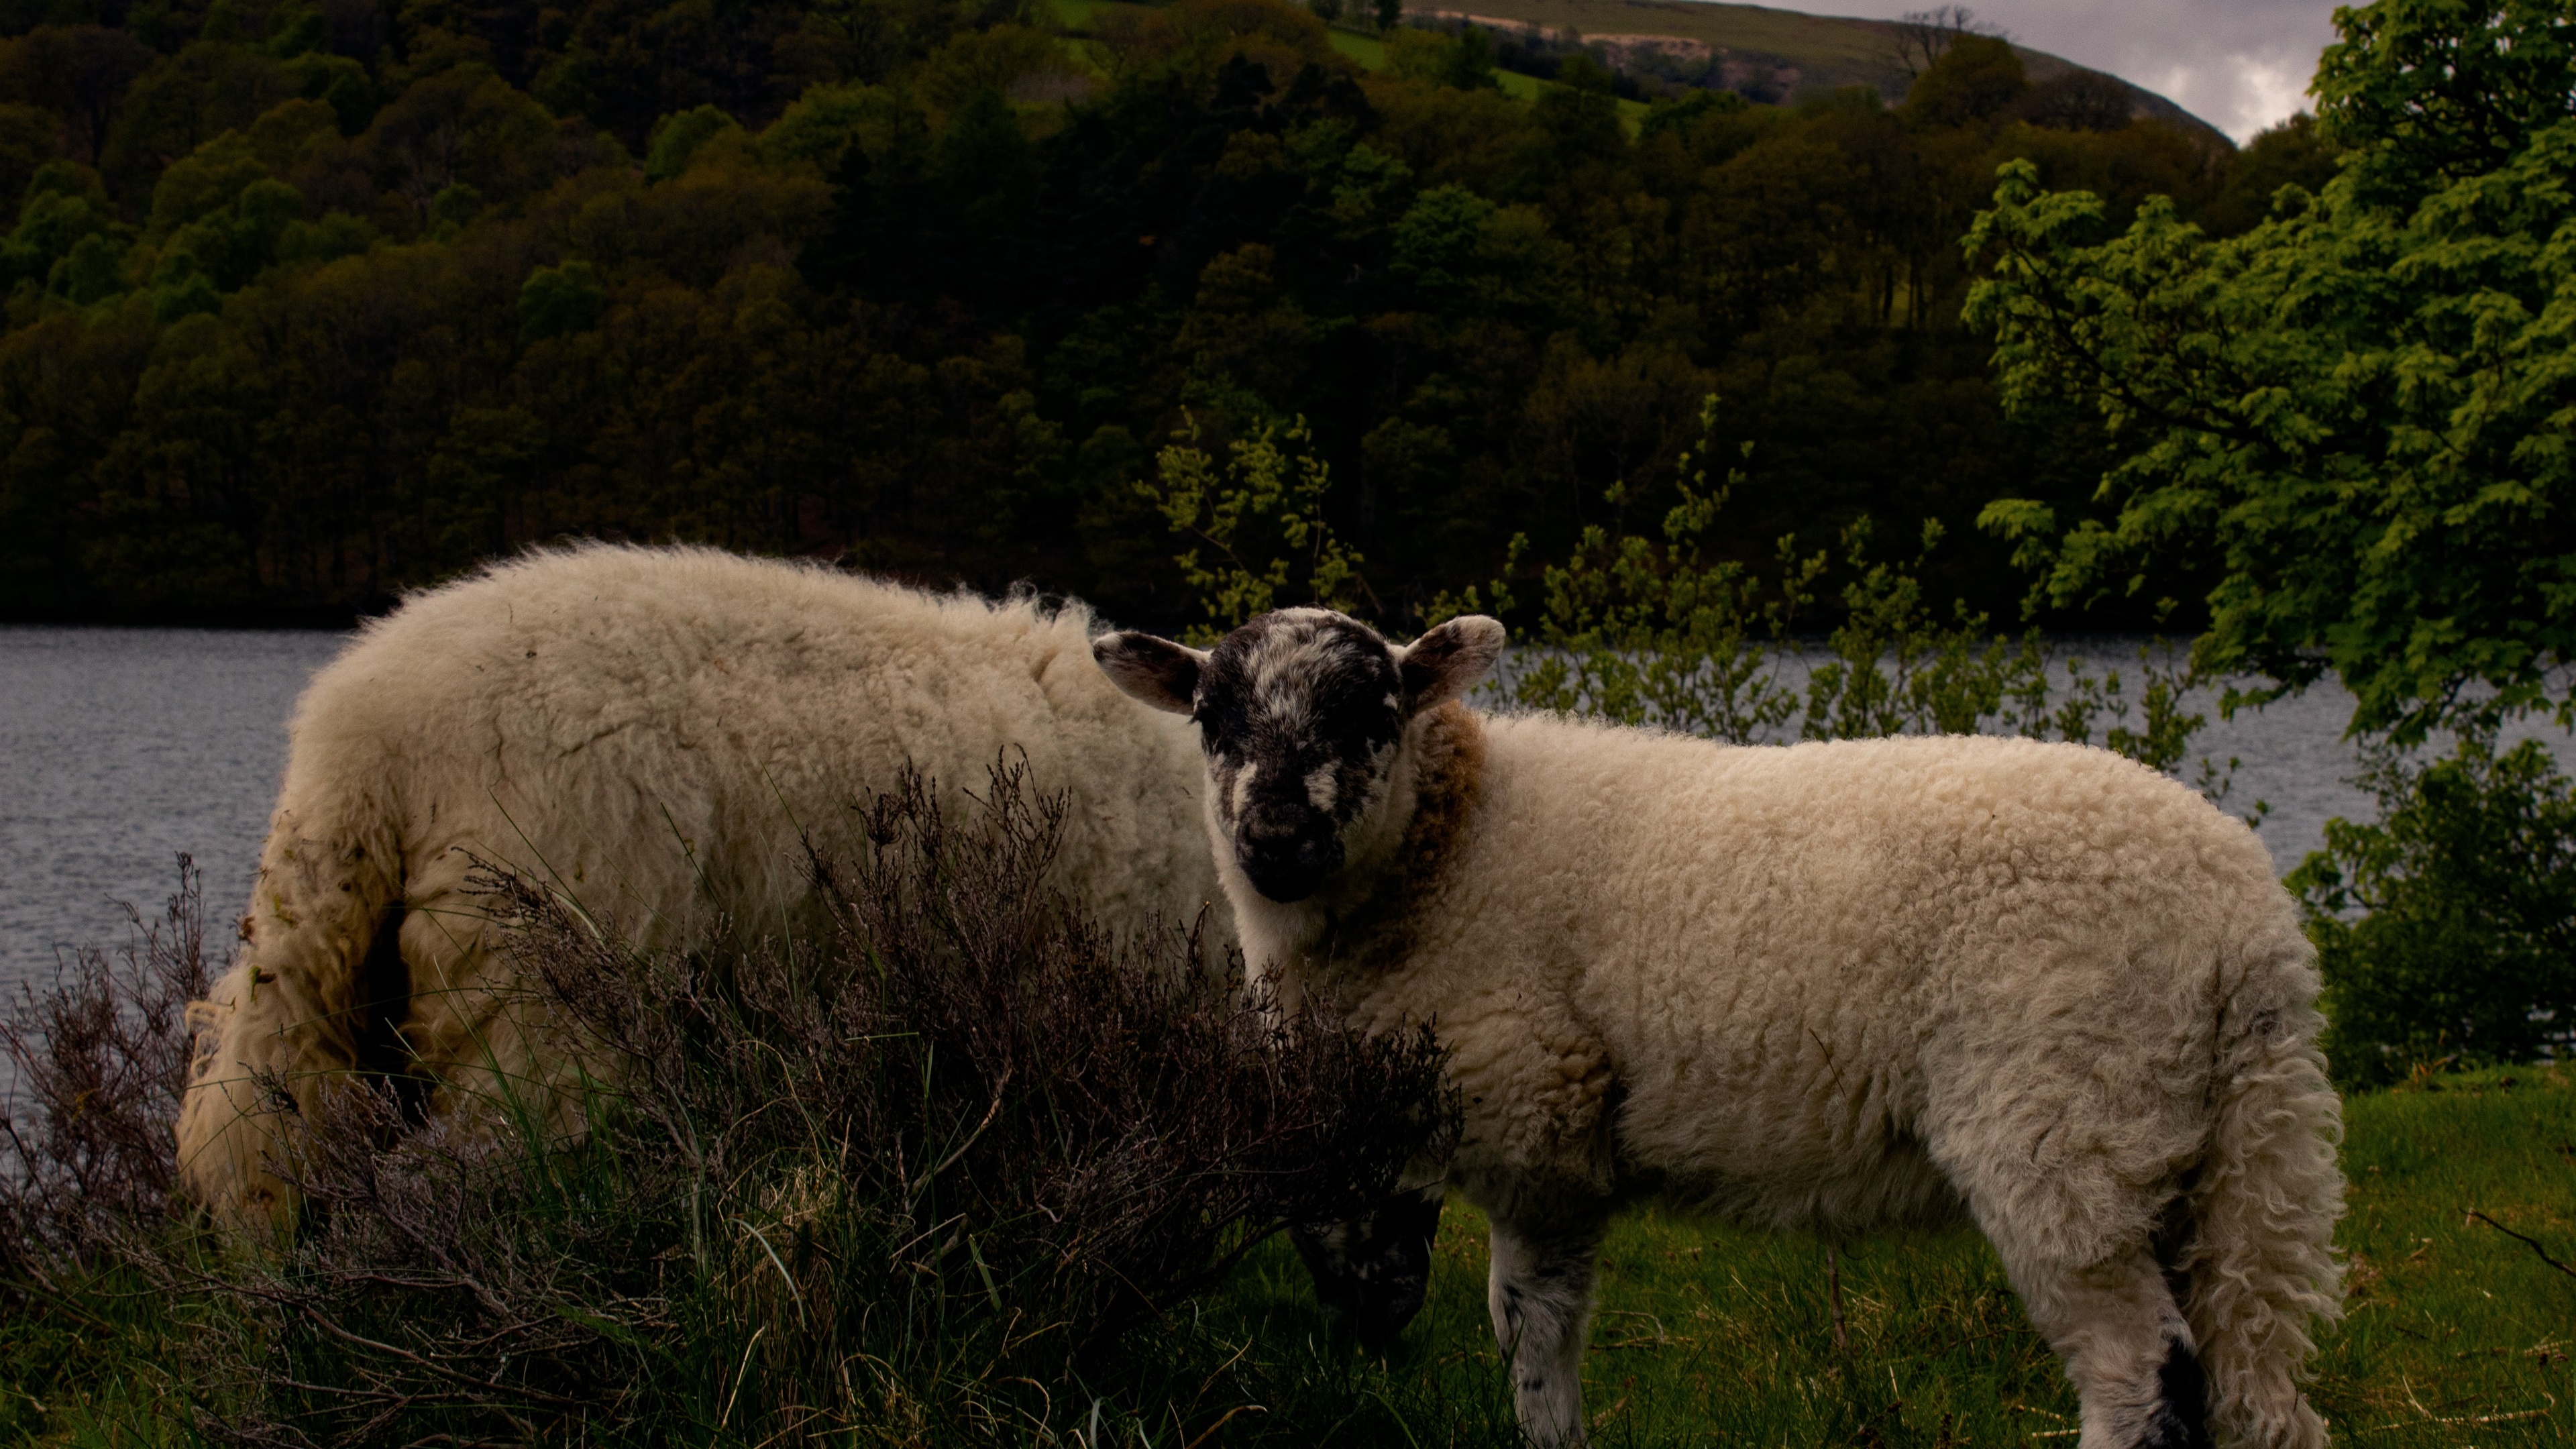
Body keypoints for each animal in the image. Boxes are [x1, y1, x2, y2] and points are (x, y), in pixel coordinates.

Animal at [1097, 606, 2349, 1444]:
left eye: (1374, 713)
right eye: (1212, 718)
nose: (1273, 838)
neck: (1445, 851)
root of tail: (2248, 920)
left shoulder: (1537, 1121)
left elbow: (1529, 1334)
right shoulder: (1424, 1126)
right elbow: (1422, 1282)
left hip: (2063, 1125)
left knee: (2140, 1373)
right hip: (2210, 1149)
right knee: (2253, 1384)